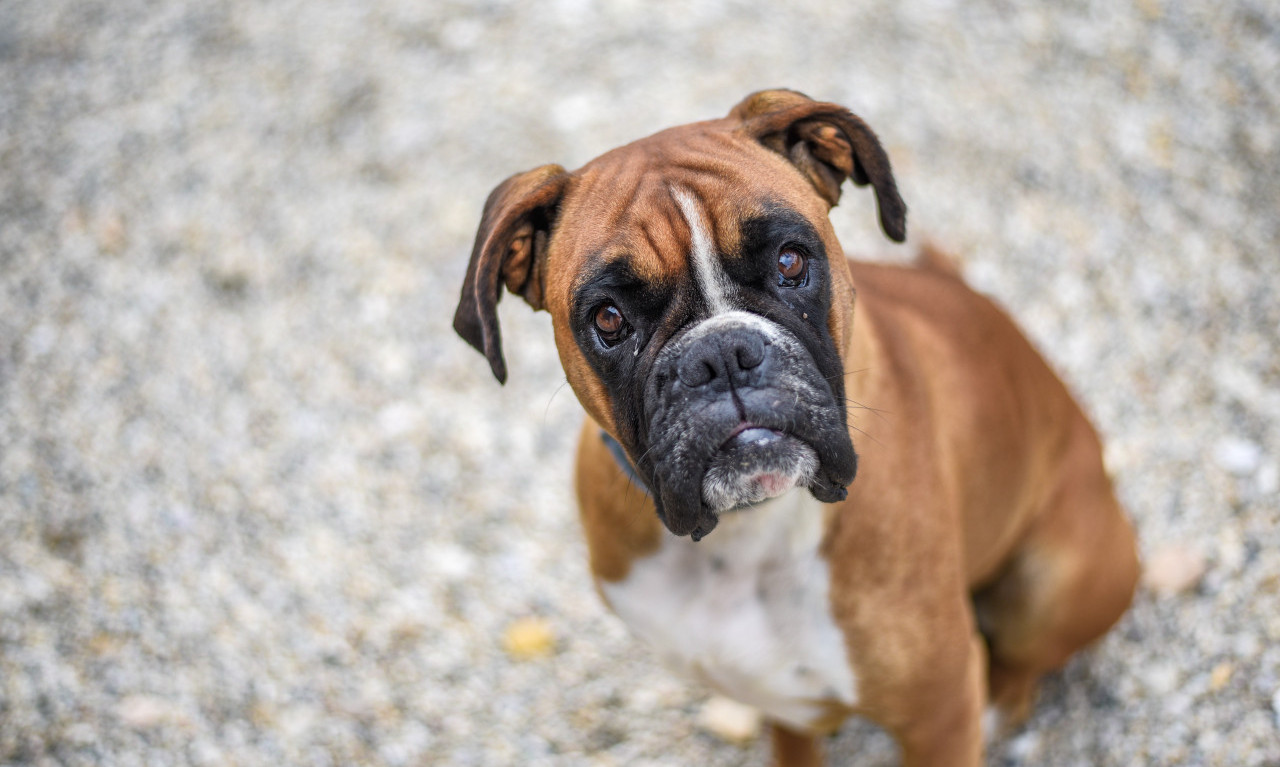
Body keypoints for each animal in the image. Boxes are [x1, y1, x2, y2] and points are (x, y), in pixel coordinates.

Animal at [453, 91, 1141, 767]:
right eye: (609, 318)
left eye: (790, 261)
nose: (723, 354)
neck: (746, 536)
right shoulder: (785, 706)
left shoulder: (939, 712)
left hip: (1053, 584)